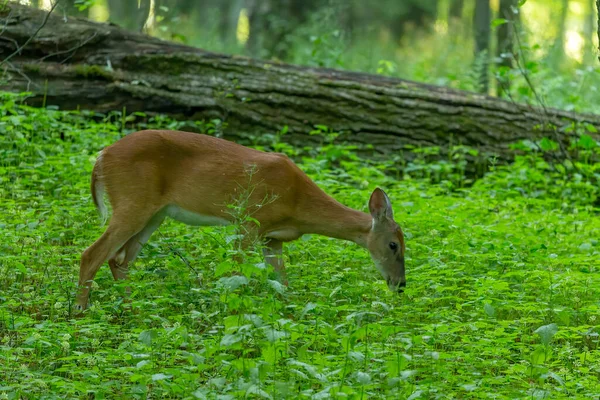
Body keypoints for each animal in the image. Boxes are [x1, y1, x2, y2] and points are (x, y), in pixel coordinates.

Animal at [74, 130, 404, 310]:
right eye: (394, 245)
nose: (400, 285)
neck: (298, 203)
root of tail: (101, 157)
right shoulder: (249, 220)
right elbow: (236, 275)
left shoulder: (273, 238)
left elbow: (283, 284)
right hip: (133, 202)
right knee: (92, 254)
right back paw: (78, 312)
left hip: (155, 213)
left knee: (119, 260)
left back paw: (132, 311)